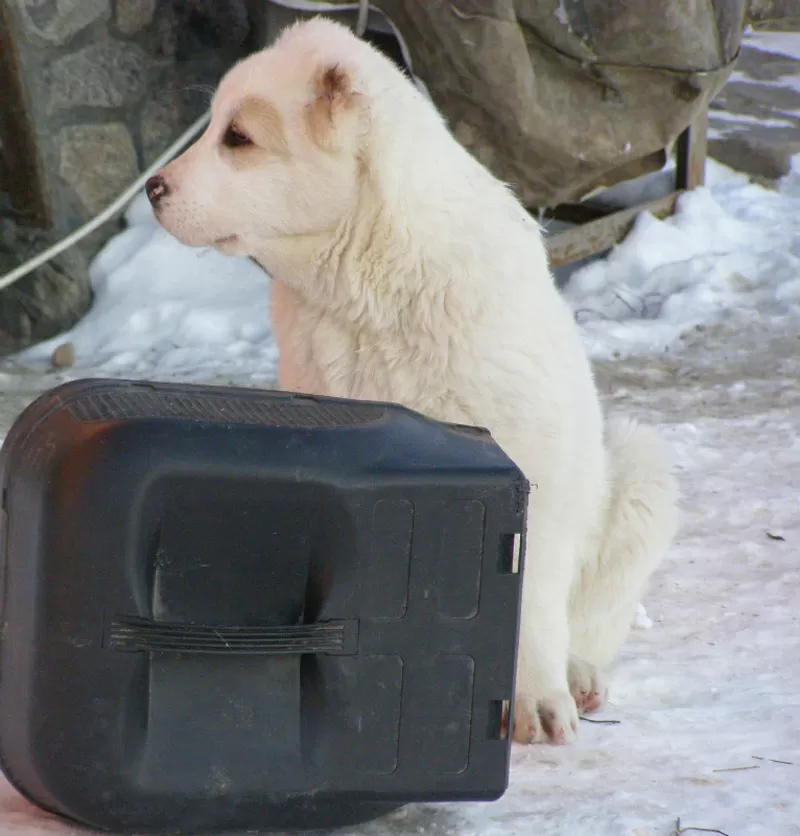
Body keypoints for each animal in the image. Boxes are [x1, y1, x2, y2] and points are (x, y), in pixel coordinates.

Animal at [147, 16, 680, 744]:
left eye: (238, 138)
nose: (152, 189)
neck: (365, 282)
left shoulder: (531, 457)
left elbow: (534, 594)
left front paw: (538, 700)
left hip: (638, 472)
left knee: (586, 622)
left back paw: (577, 678)